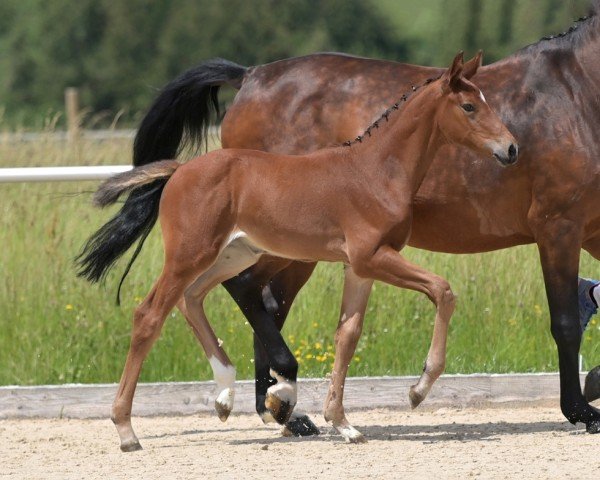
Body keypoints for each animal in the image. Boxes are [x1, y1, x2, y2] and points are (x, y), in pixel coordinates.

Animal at [79, 53, 516, 450]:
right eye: (469, 106)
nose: (511, 148)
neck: (377, 171)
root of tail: (180, 170)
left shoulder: (361, 267)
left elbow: (348, 334)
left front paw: (344, 424)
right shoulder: (372, 256)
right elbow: (442, 290)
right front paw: (418, 390)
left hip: (233, 255)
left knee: (192, 297)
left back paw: (225, 395)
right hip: (190, 254)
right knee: (150, 315)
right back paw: (127, 430)